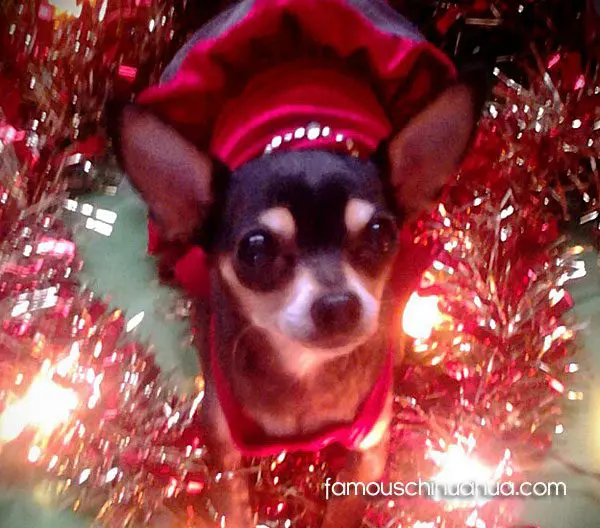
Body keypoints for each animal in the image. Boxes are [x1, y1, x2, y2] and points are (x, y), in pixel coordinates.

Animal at [111, 0, 487, 526]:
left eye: (379, 233)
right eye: (255, 250)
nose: (339, 305)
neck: (305, 374)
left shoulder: (370, 450)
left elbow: (345, 507)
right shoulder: (222, 446)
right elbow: (233, 505)